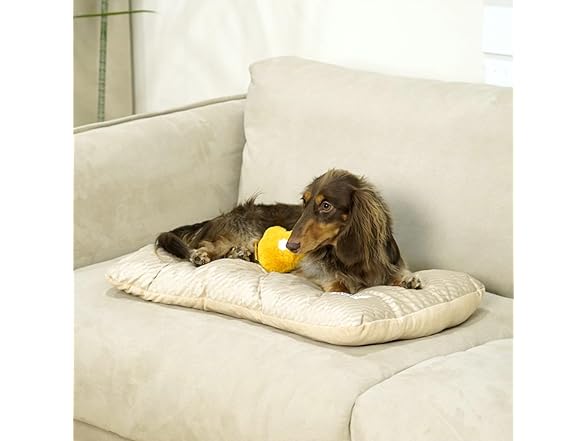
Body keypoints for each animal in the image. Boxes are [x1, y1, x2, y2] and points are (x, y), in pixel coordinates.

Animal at [155, 169, 421, 293]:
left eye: (326, 205)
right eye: (305, 201)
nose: (291, 246)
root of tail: (222, 216)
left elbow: (398, 272)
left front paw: (408, 278)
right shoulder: (314, 270)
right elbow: (337, 283)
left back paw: (241, 254)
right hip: (243, 231)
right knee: (209, 245)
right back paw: (200, 255)